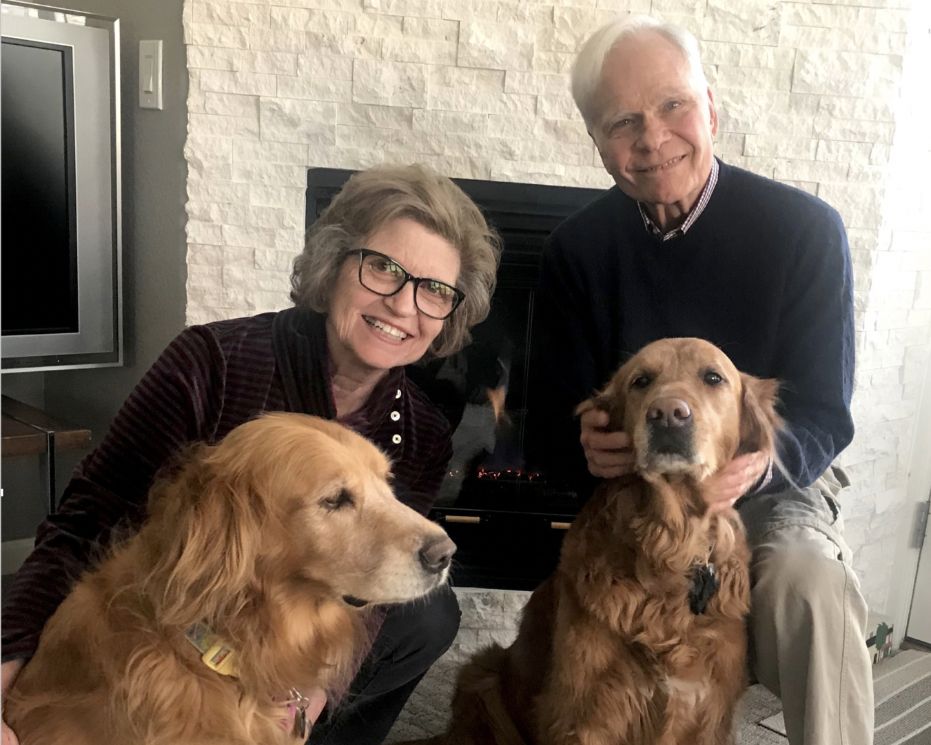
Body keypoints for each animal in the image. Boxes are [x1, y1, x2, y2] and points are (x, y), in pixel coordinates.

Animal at [404, 338, 784, 744]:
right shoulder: (587, 713)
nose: (668, 414)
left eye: (713, 377)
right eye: (641, 380)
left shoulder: (707, 712)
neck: (669, 544)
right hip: (481, 678)